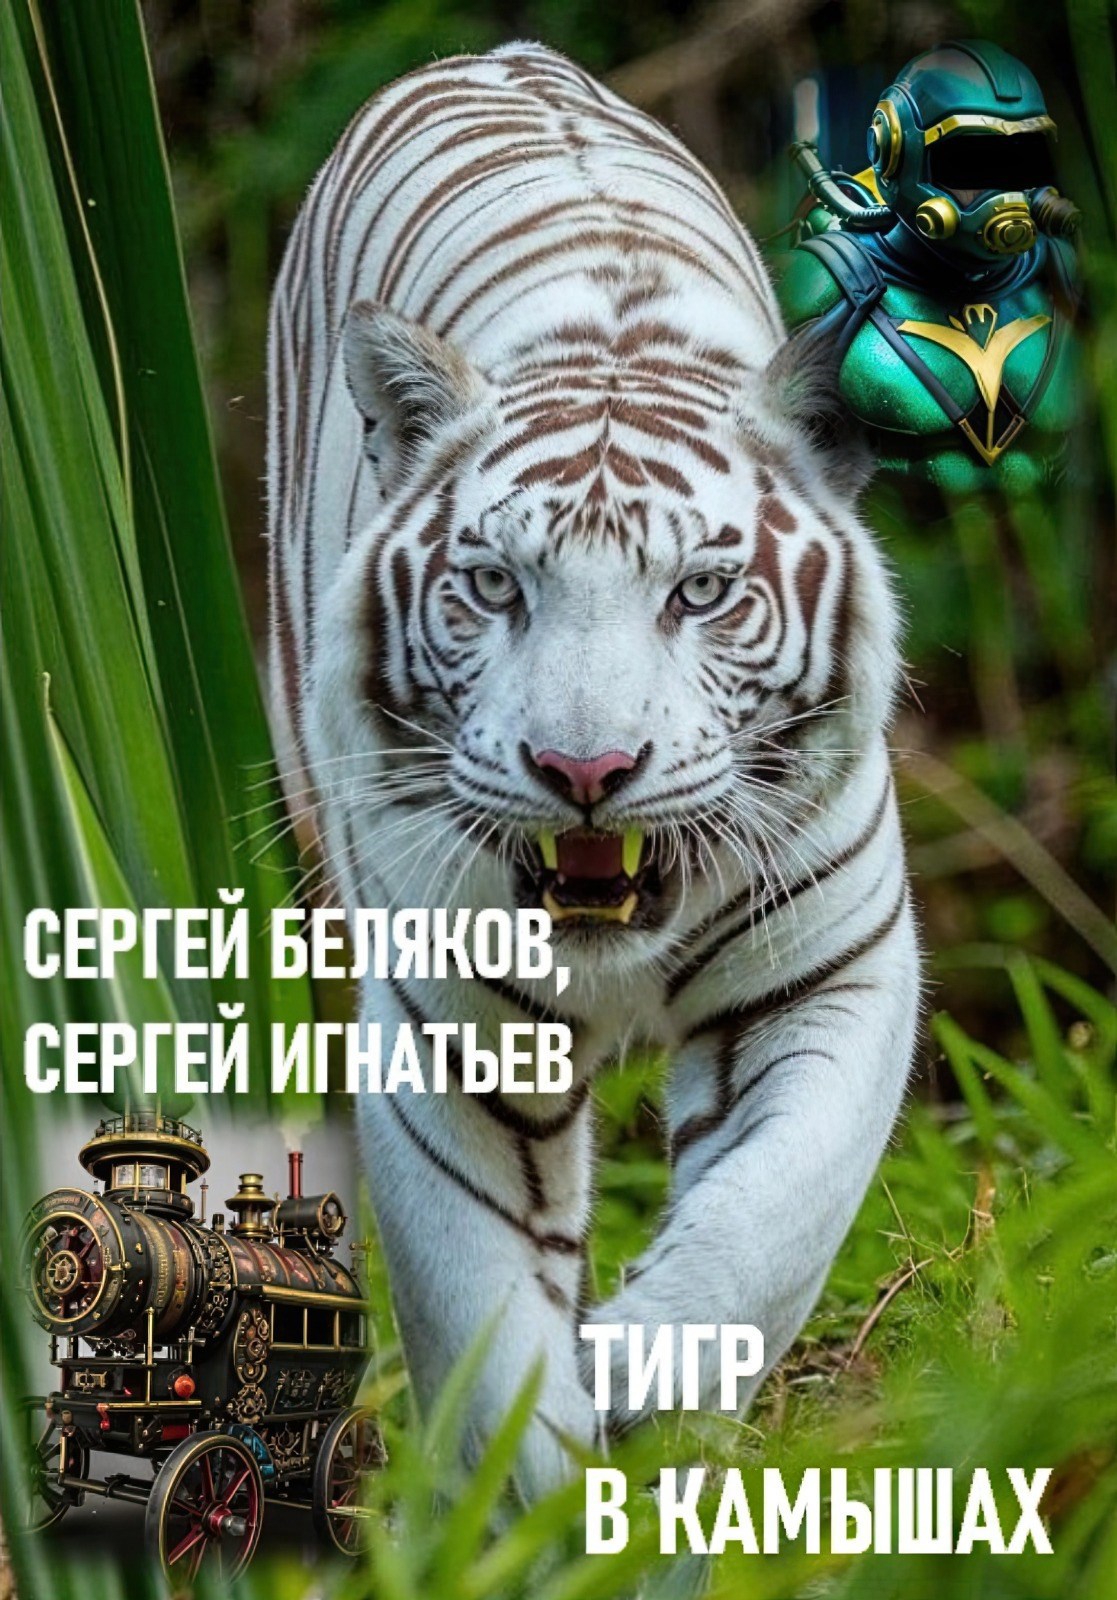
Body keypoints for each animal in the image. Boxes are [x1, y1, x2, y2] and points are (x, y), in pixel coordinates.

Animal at [267, 42, 920, 1496]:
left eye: (703, 592)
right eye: (495, 587)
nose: (584, 769)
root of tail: (492, 57)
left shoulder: (832, 973)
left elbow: (773, 1220)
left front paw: (644, 1370)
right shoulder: (446, 1033)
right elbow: (476, 1312)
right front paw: (532, 1493)